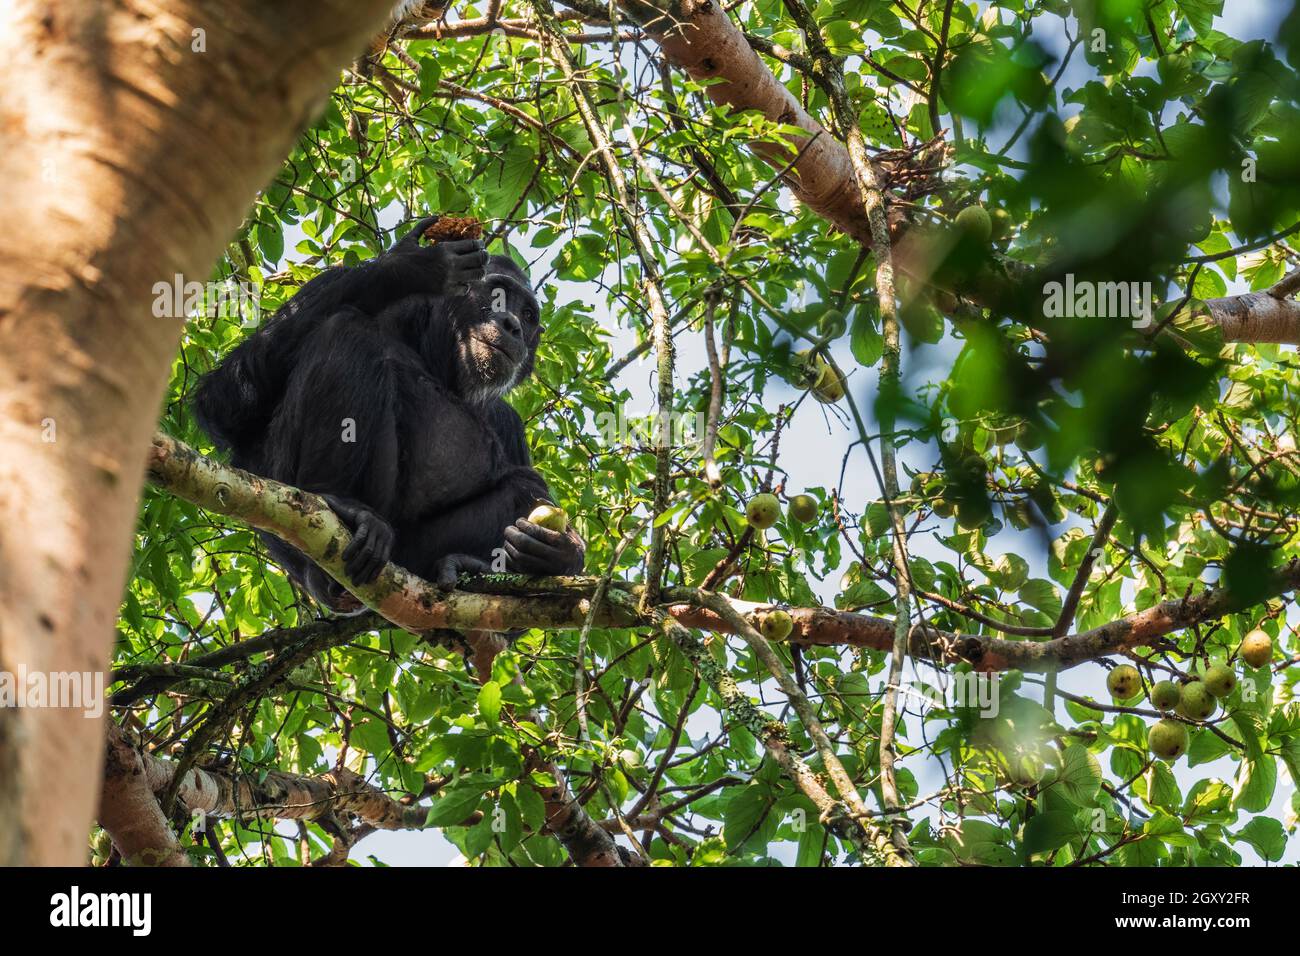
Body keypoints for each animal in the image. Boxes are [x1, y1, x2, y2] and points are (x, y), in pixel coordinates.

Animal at [192, 214, 585, 613]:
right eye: (497, 295)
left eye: (528, 314)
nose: (514, 326)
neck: (438, 357)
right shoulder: (328, 284)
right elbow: (229, 405)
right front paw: (412, 265)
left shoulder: (510, 425)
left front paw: (561, 552)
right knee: (346, 329)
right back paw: (340, 506)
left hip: (411, 555)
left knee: (523, 488)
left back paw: (469, 568)